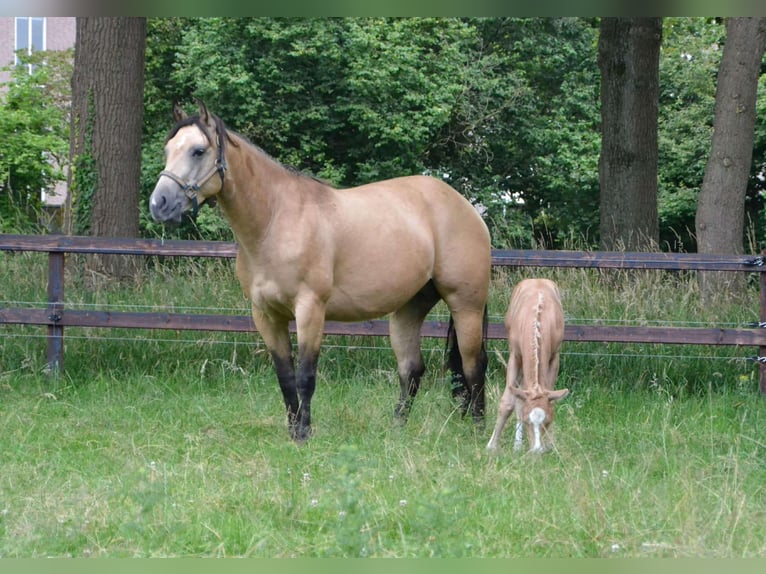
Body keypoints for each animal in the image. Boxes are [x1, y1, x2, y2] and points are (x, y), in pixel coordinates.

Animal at [149, 101, 491, 442]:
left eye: (198, 151)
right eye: (167, 149)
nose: (159, 204)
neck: (275, 221)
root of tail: (467, 208)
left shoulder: (310, 309)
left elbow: (305, 376)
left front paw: (304, 433)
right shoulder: (266, 315)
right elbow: (285, 376)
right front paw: (292, 431)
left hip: (465, 305)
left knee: (474, 365)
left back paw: (477, 431)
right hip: (409, 308)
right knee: (411, 369)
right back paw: (397, 430)